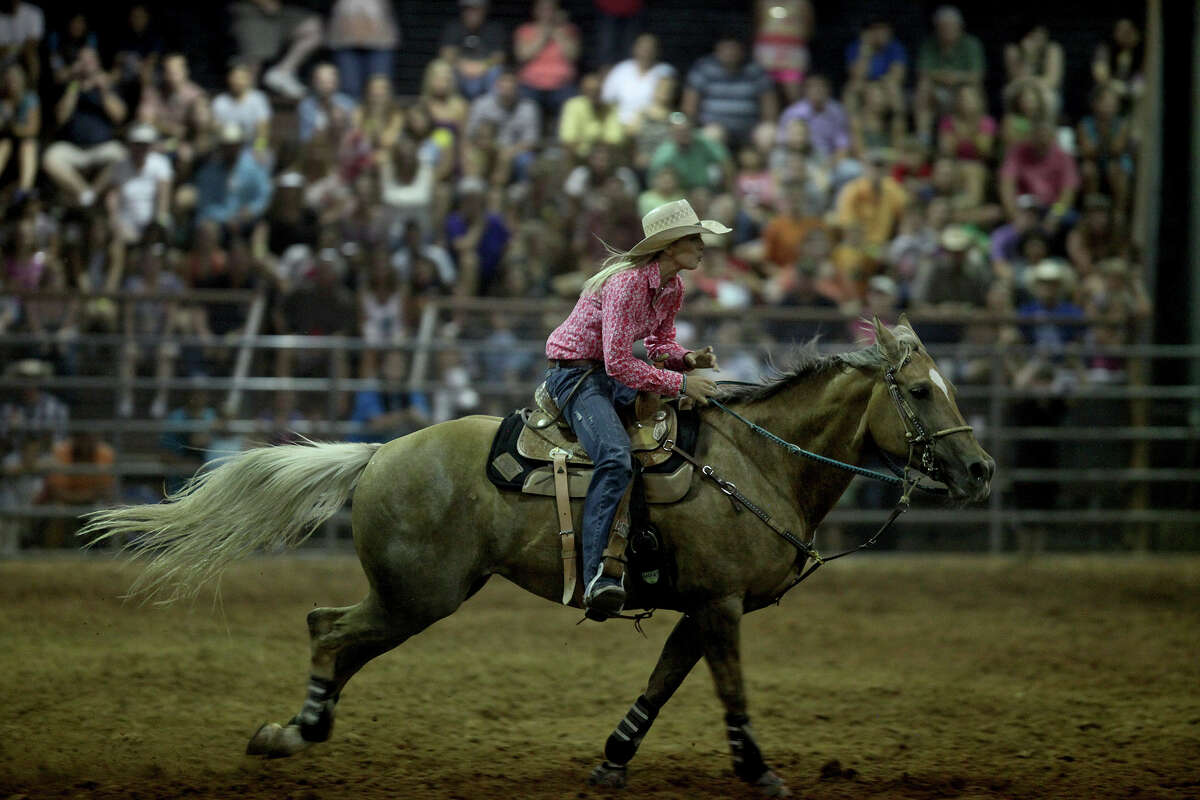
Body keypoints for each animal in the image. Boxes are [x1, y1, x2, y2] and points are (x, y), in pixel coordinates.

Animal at [83, 317, 994, 798]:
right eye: (920, 391)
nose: (982, 469)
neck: (759, 462)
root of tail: (379, 454)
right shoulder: (722, 606)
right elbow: (730, 689)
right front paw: (760, 771)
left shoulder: (699, 608)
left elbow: (661, 685)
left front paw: (613, 761)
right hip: (418, 595)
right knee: (330, 629)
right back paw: (296, 730)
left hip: (413, 596)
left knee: (330, 628)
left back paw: (295, 730)